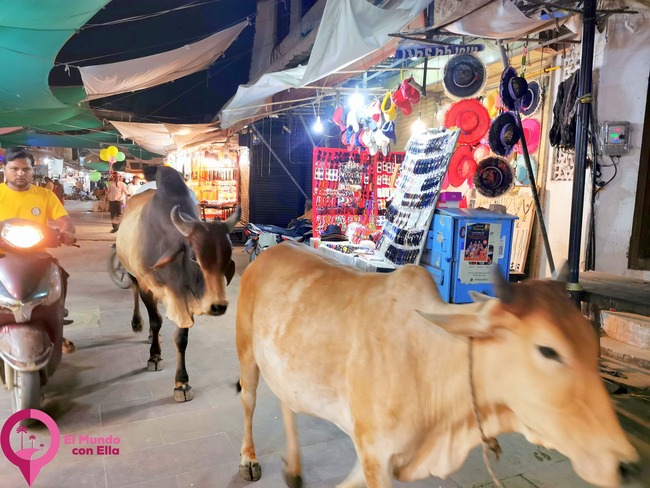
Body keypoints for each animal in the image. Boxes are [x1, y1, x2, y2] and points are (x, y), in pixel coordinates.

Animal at [235, 243, 636, 488]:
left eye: (591, 341)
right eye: (548, 351)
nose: (627, 464)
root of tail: (270, 251)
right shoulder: (375, 454)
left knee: (287, 402)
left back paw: (294, 468)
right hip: (247, 354)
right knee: (250, 402)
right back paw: (249, 460)